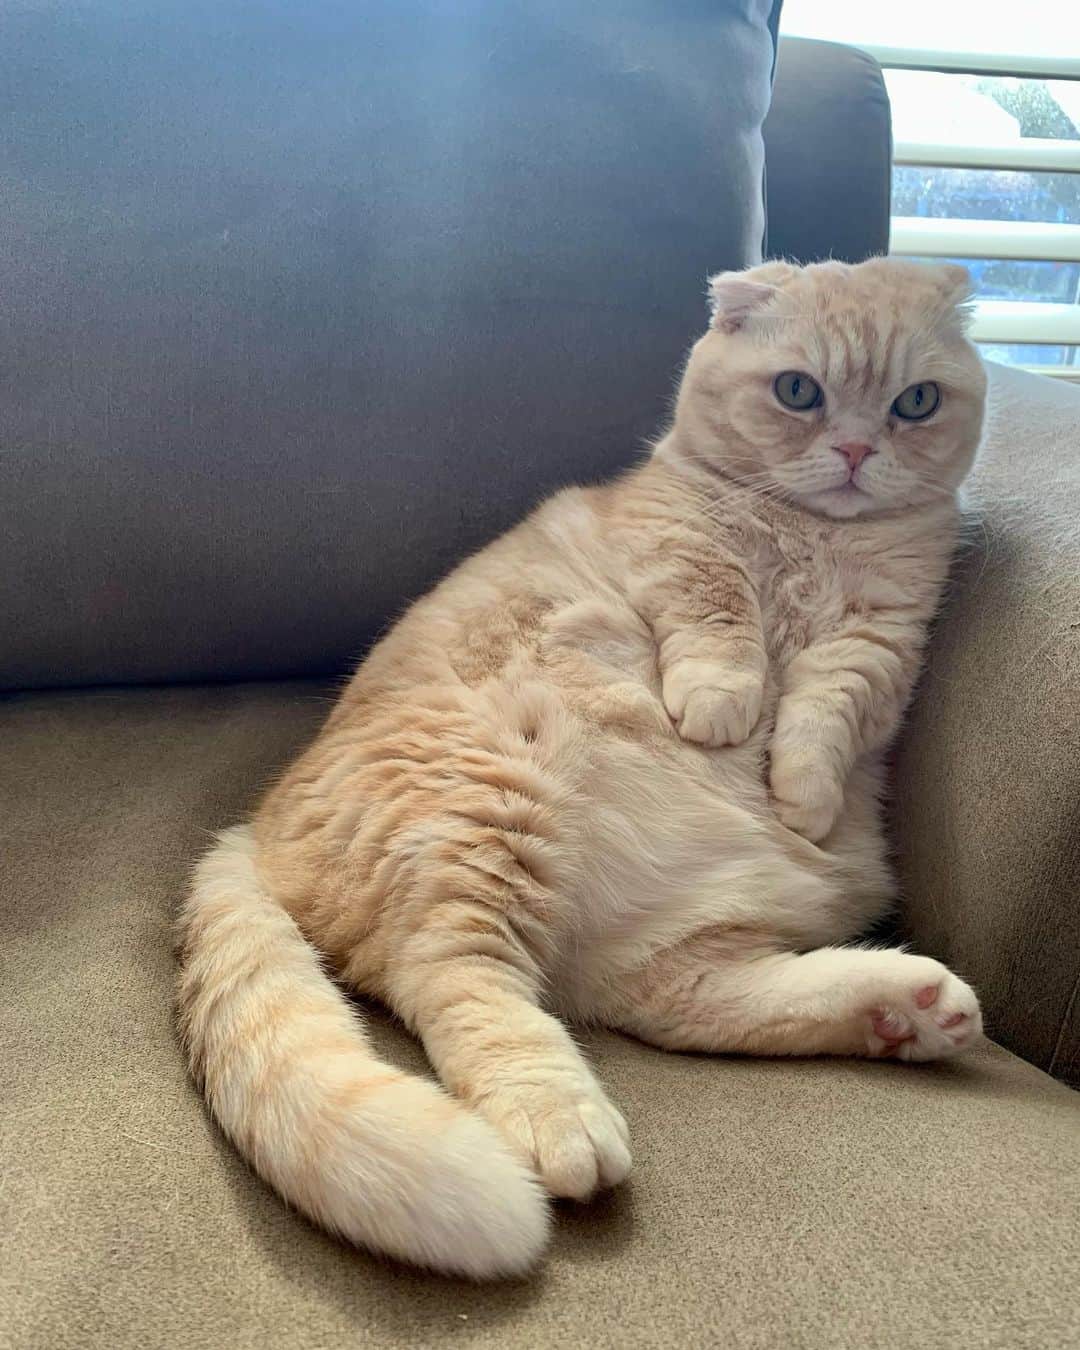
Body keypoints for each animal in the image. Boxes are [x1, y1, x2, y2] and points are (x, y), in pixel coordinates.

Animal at [175, 257, 988, 1279]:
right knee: (460, 983)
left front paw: (800, 791)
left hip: (666, 941)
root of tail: (254, 827)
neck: (816, 539)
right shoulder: (682, 556)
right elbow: (718, 627)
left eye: (915, 403)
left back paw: (906, 1008)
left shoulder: (886, 632)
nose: (853, 451)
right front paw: (722, 710)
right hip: (484, 821)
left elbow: (827, 703)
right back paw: (559, 1124)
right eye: (798, 392)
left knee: (703, 1007)